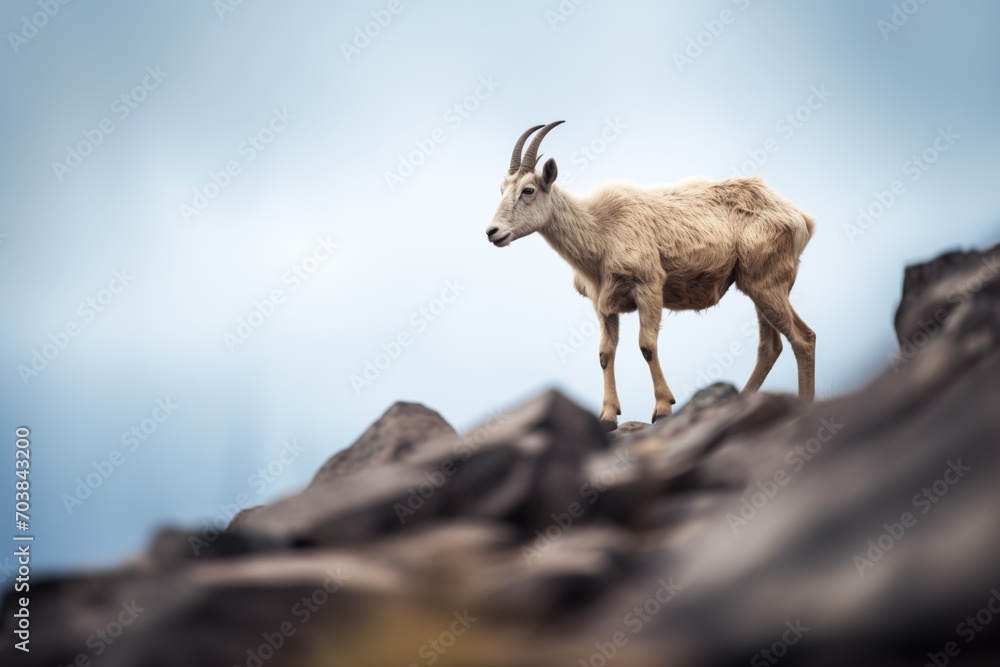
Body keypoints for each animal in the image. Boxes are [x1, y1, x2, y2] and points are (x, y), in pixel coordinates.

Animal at [488, 122, 816, 430]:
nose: (493, 232)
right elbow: (605, 353)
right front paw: (608, 417)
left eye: (528, 190)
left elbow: (646, 345)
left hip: (767, 283)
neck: (600, 230)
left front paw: (662, 409)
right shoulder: (603, 303)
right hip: (757, 285)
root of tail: (800, 218)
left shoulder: (648, 287)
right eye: (502, 190)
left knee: (803, 338)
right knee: (770, 347)